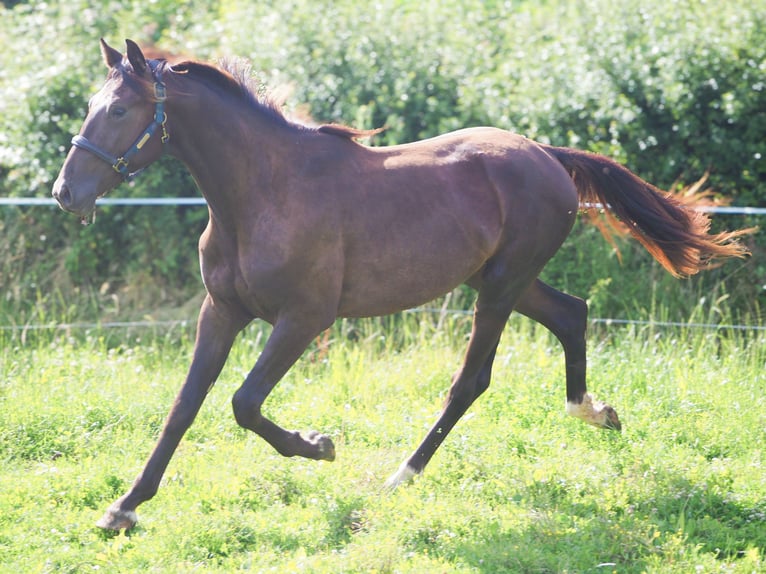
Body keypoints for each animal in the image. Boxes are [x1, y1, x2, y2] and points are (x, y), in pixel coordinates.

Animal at [54, 40, 752, 532]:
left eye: (120, 109)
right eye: (90, 107)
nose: (66, 193)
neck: (260, 194)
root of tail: (547, 155)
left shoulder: (305, 318)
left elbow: (244, 404)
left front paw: (320, 446)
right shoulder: (221, 311)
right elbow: (184, 406)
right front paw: (123, 509)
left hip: (500, 287)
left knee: (472, 379)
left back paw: (400, 477)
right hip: (504, 279)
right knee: (572, 314)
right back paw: (595, 411)